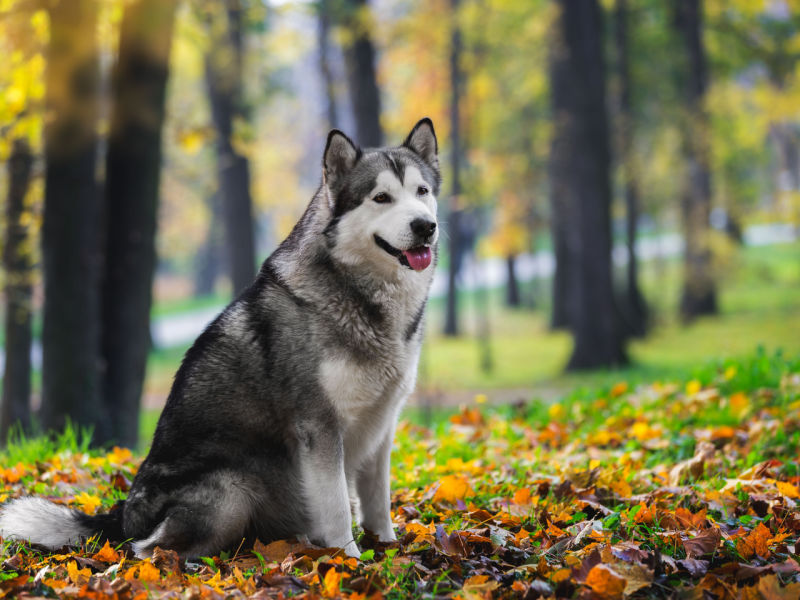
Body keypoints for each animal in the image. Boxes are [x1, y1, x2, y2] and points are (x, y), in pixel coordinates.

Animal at [0, 117, 440, 556]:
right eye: (381, 197)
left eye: (422, 192)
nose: (425, 226)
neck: (362, 295)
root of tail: (122, 516)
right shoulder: (320, 427)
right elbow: (335, 508)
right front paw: (347, 560)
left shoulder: (382, 424)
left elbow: (377, 501)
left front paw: (387, 548)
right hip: (232, 487)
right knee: (146, 549)